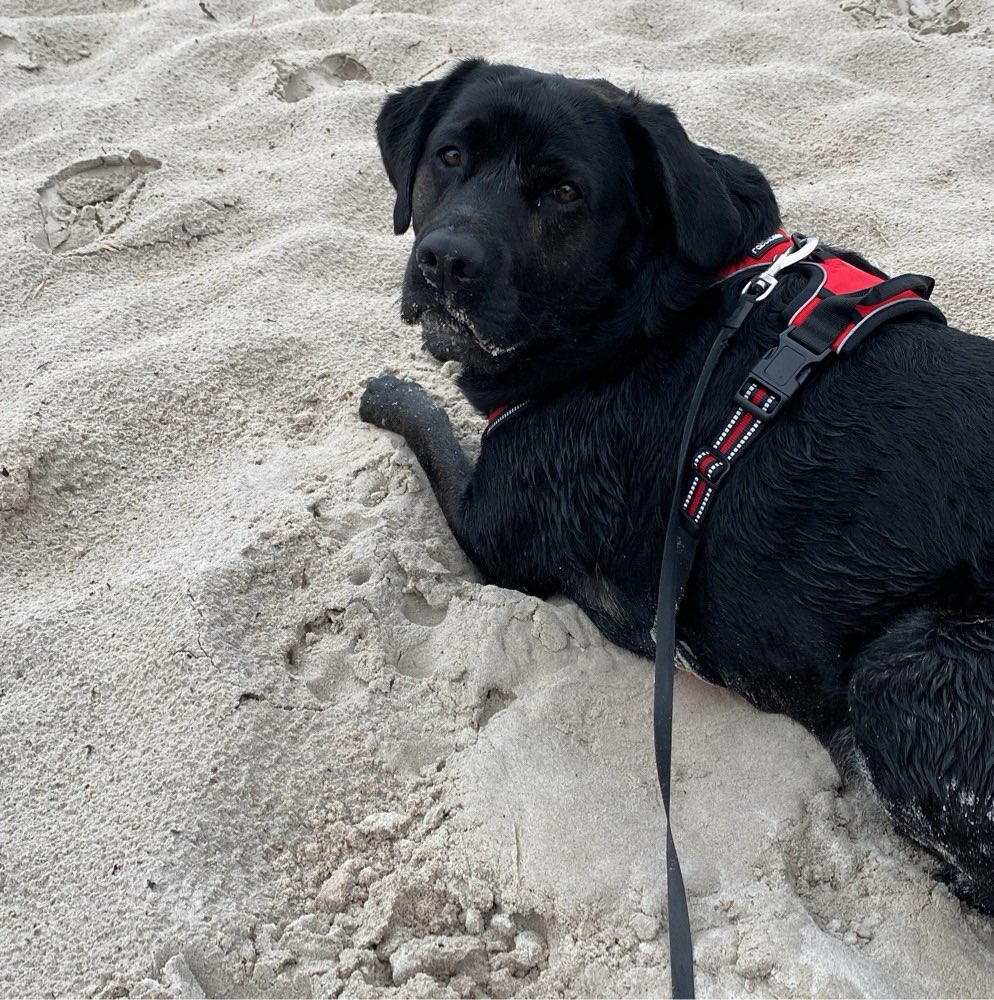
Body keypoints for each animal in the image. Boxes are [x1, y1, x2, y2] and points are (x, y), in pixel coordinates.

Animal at [360, 58, 992, 912]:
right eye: (450, 156)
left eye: (565, 193)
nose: (445, 262)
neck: (645, 309)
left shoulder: (491, 526)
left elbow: (426, 422)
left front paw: (388, 393)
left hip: (916, 660)